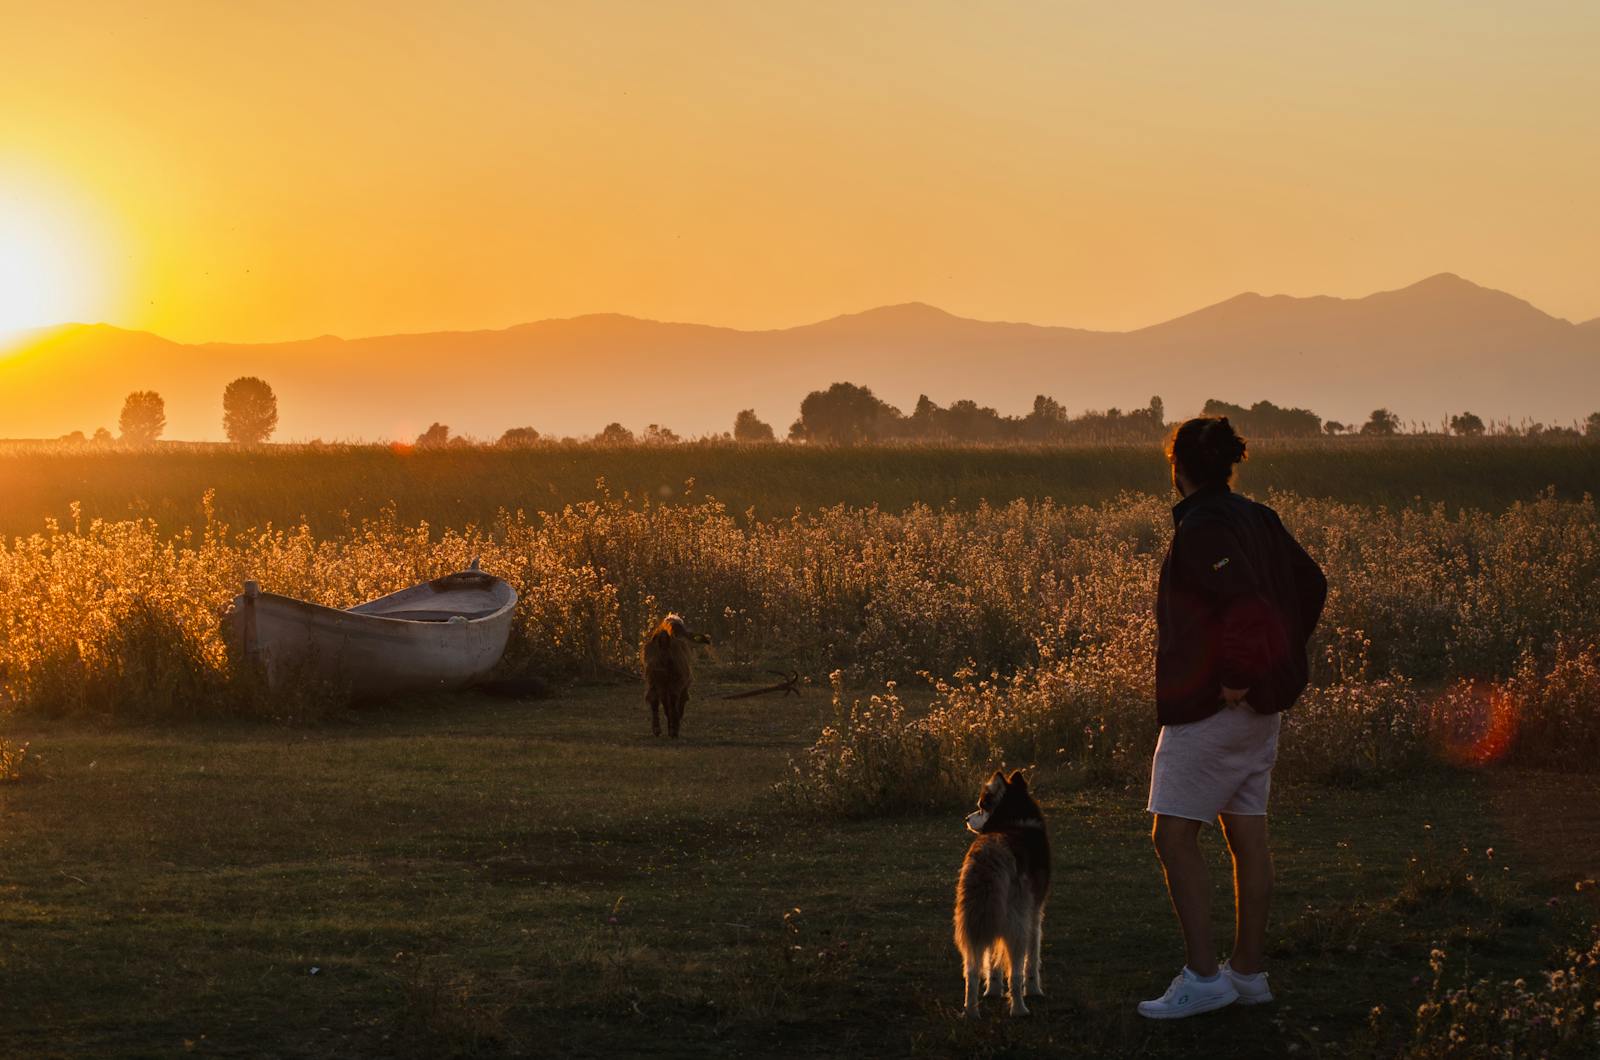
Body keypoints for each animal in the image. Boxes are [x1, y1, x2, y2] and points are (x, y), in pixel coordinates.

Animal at [947, 771, 1049, 1024]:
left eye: (982, 807)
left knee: (971, 970)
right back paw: (1020, 1009)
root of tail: (989, 856)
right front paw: (1034, 990)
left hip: (971, 921)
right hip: (1017, 923)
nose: (966, 818)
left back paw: (971, 1011)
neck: (1013, 821)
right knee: (1016, 971)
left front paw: (992, 990)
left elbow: (992, 961)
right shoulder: (1035, 915)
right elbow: (1032, 960)